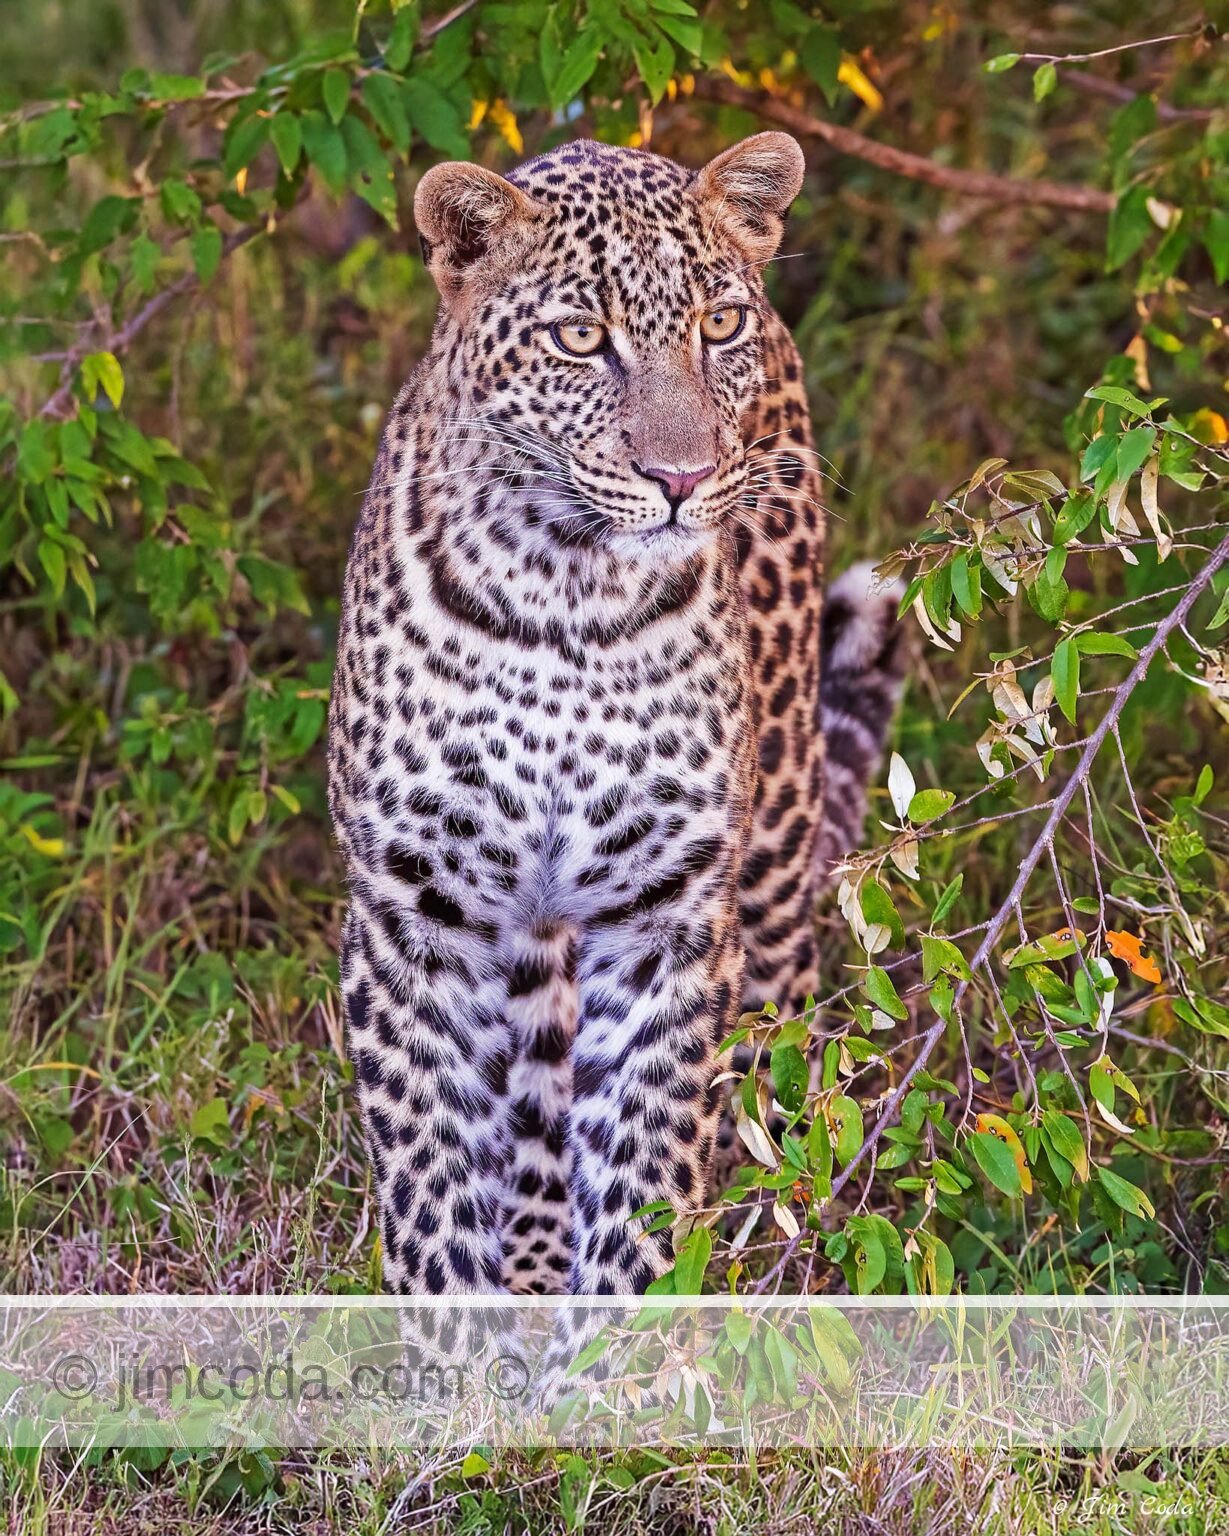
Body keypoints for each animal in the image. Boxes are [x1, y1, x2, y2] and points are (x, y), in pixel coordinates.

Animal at [327, 132, 903, 1302]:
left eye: (715, 326)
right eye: (580, 339)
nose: (682, 478)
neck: (566, 592)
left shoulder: (663, 914)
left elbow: (646, 1172)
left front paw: (626, 1334)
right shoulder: (412, 914)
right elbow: (431, 1192)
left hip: (774, 828)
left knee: (776, 1038)